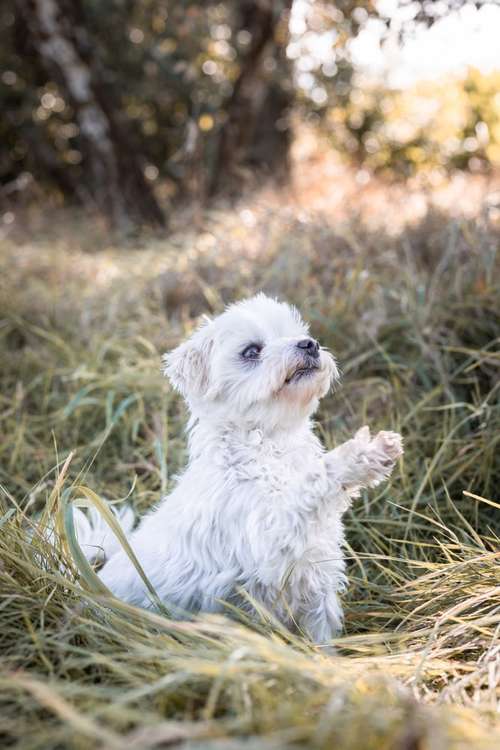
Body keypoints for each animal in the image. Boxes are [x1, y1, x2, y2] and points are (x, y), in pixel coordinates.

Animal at [81, 296, 402, 648]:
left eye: (298, 332)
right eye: (251, 351)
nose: (310, 344)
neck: (269, 444)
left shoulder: (316, 582)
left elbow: (321, 642)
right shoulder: (272, 545)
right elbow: (312, 483)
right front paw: (361, 455)